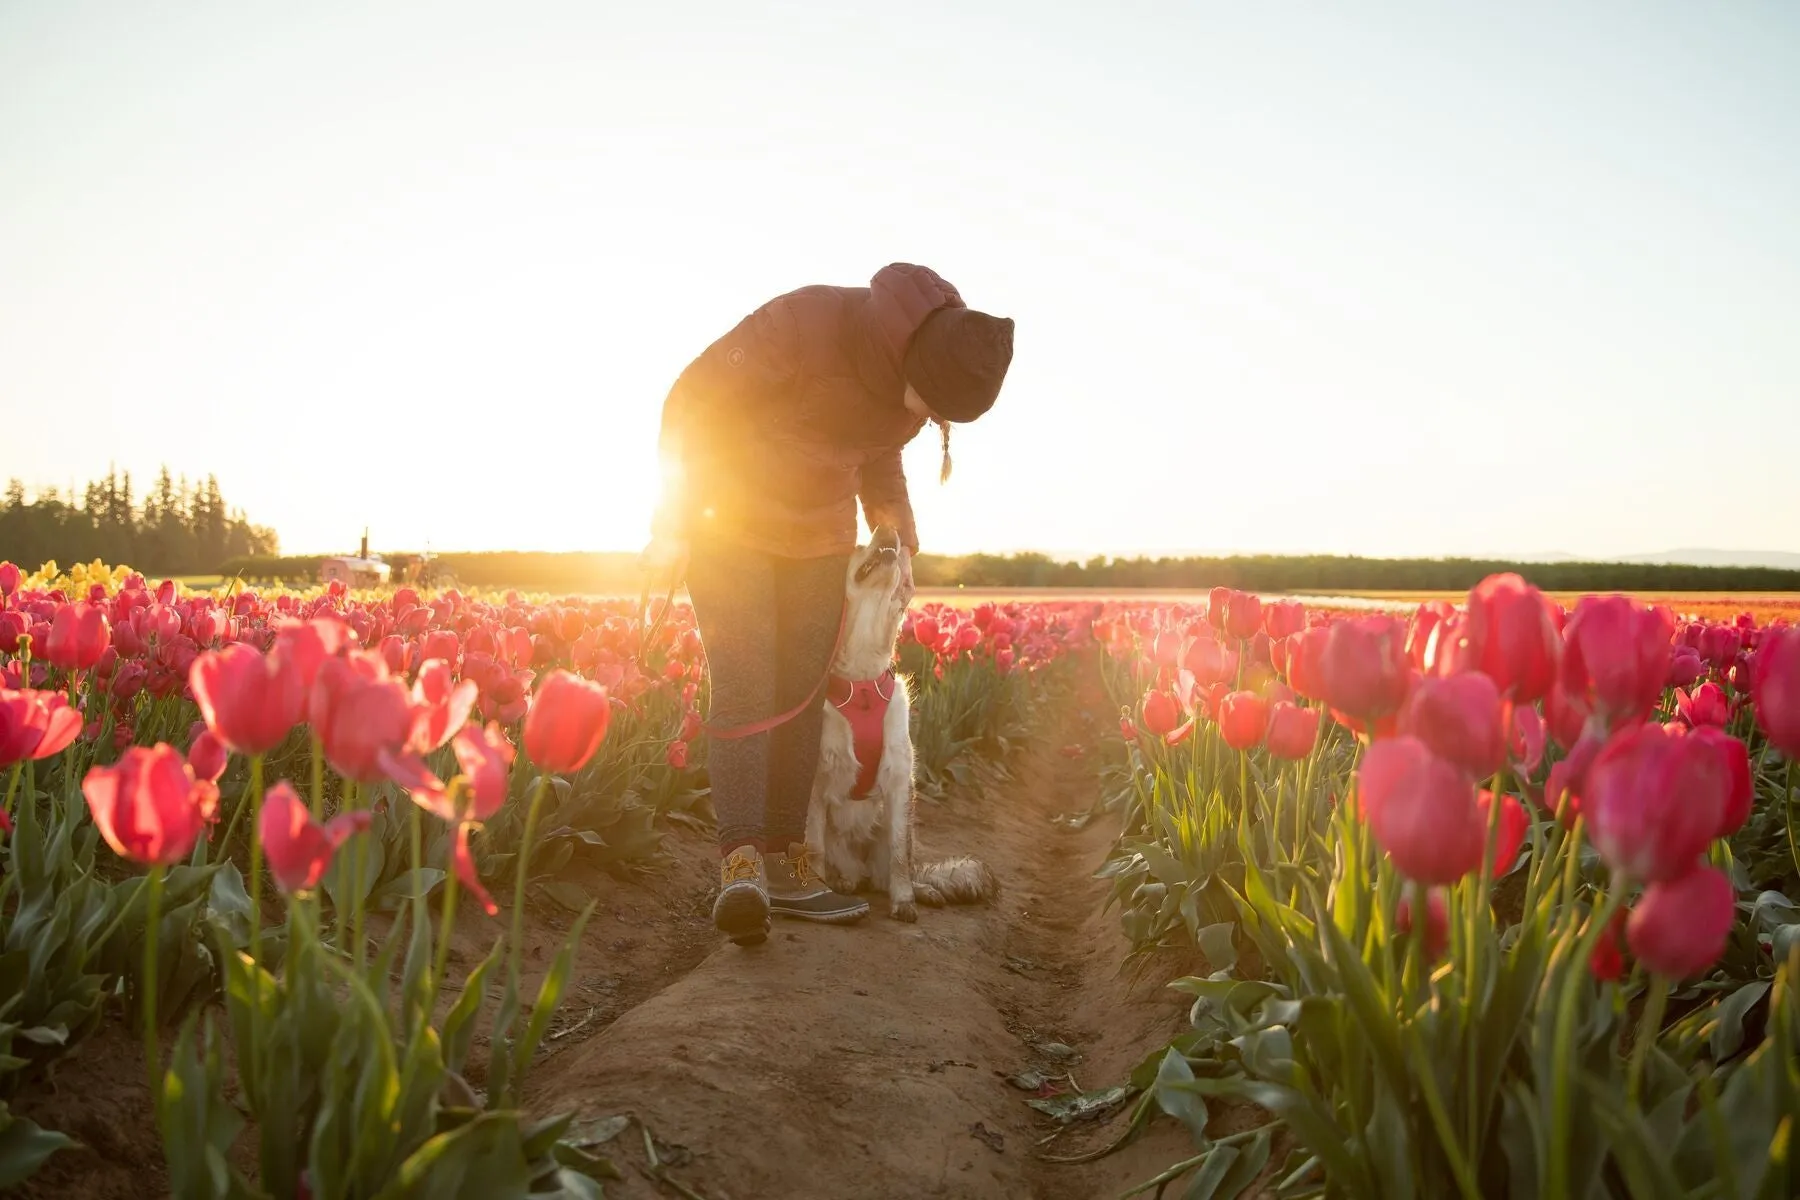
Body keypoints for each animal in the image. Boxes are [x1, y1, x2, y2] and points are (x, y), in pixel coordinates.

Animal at [810, 521, 1008, 921]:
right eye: (857, 545)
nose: (888, 526)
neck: (863, 684)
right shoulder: (817, 782)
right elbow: (814, 850)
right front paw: (822, 891)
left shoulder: (900, 780)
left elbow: (900, 858)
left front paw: (904, 901)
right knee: (850, 872)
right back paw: (843, 883)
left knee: (892, 871)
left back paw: (923, 889)